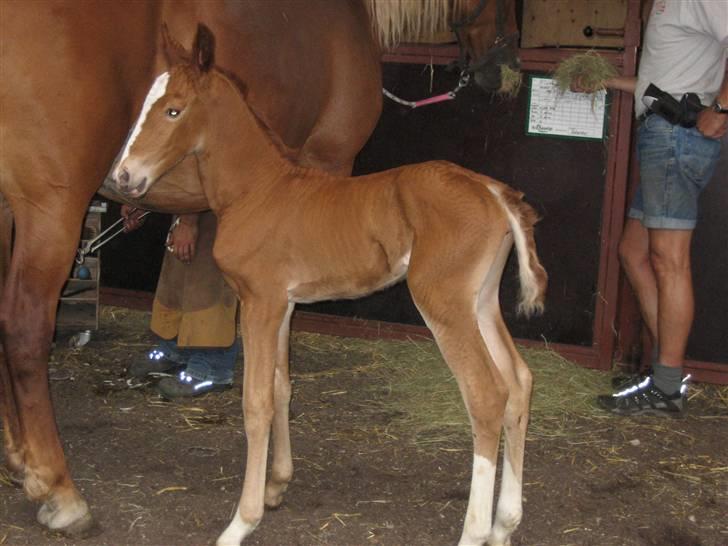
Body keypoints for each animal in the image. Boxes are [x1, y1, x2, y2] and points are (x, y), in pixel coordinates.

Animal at [2, 0, 520, 536]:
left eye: (173, 109)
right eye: (145, 104)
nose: (126, 174)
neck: (263, 186)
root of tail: (497, 196)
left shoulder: (266, 301)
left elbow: (262, 396)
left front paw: (250, 511)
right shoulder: (279, 294)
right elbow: (277, 386)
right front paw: (272, 488)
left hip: (458, 305)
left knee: (497, 391)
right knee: (513, 386)